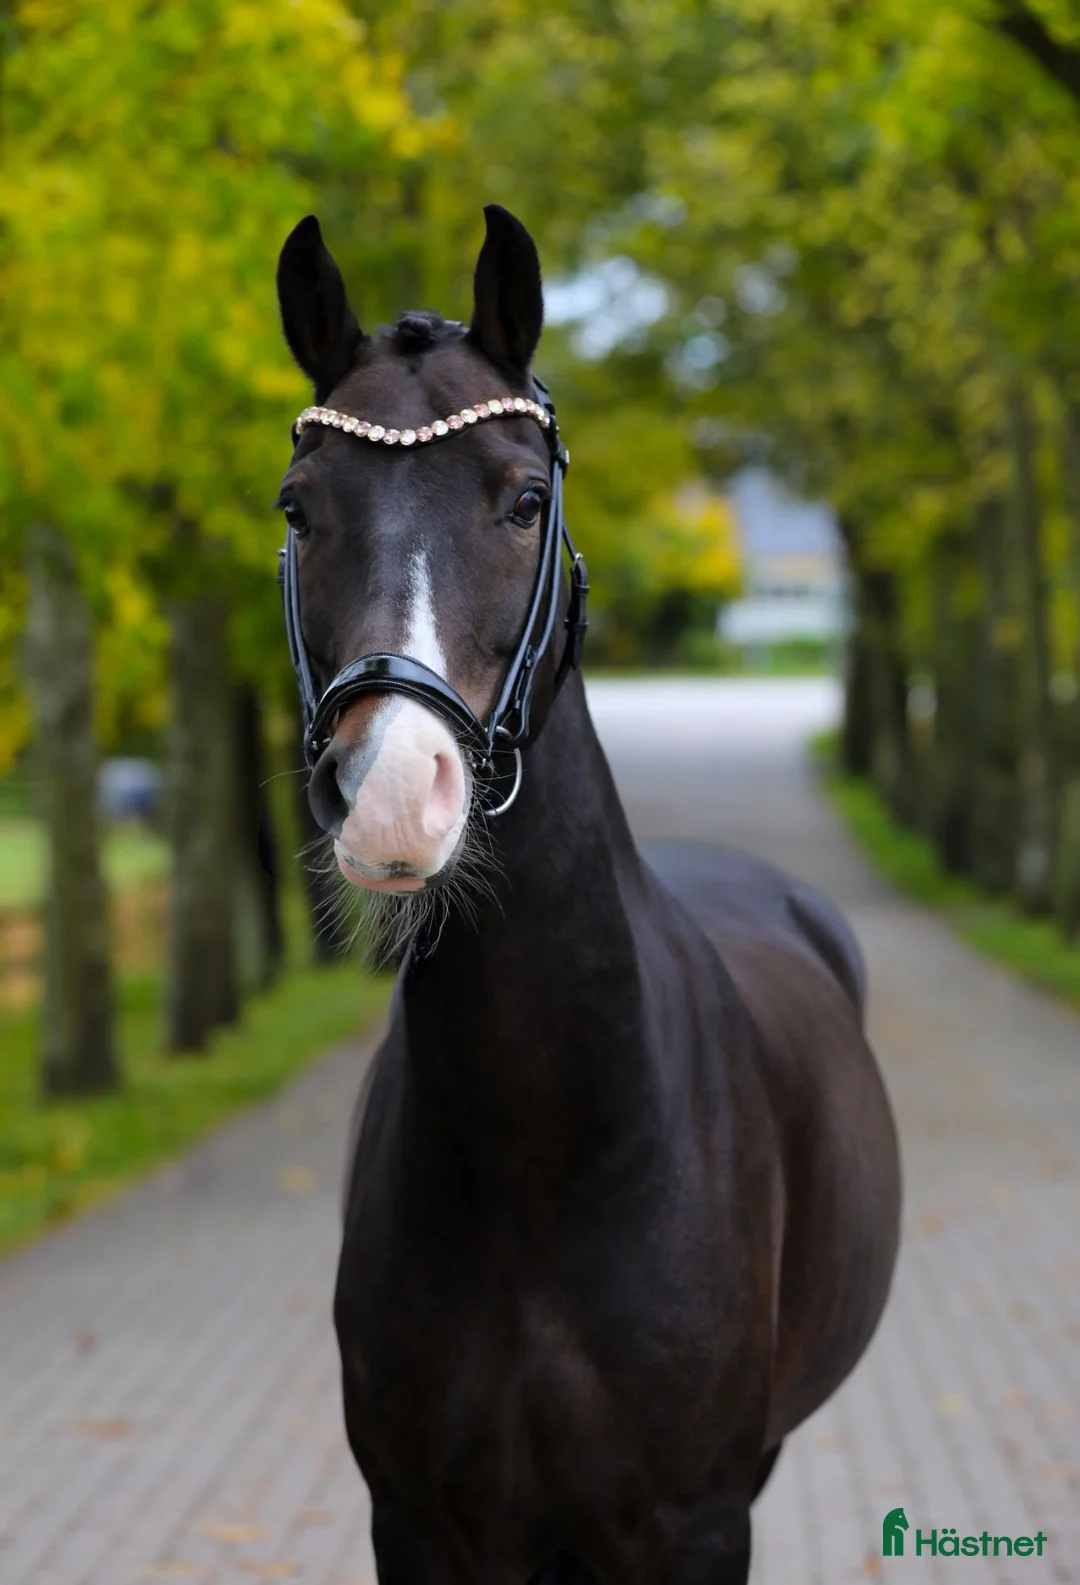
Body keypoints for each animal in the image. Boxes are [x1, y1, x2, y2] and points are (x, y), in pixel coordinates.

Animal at [274, 203, 901, 1585]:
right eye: (299, 507)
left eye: (523, 500)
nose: (391, 791)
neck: (543, 1155)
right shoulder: (420, 1524)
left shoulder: (698, 1519)